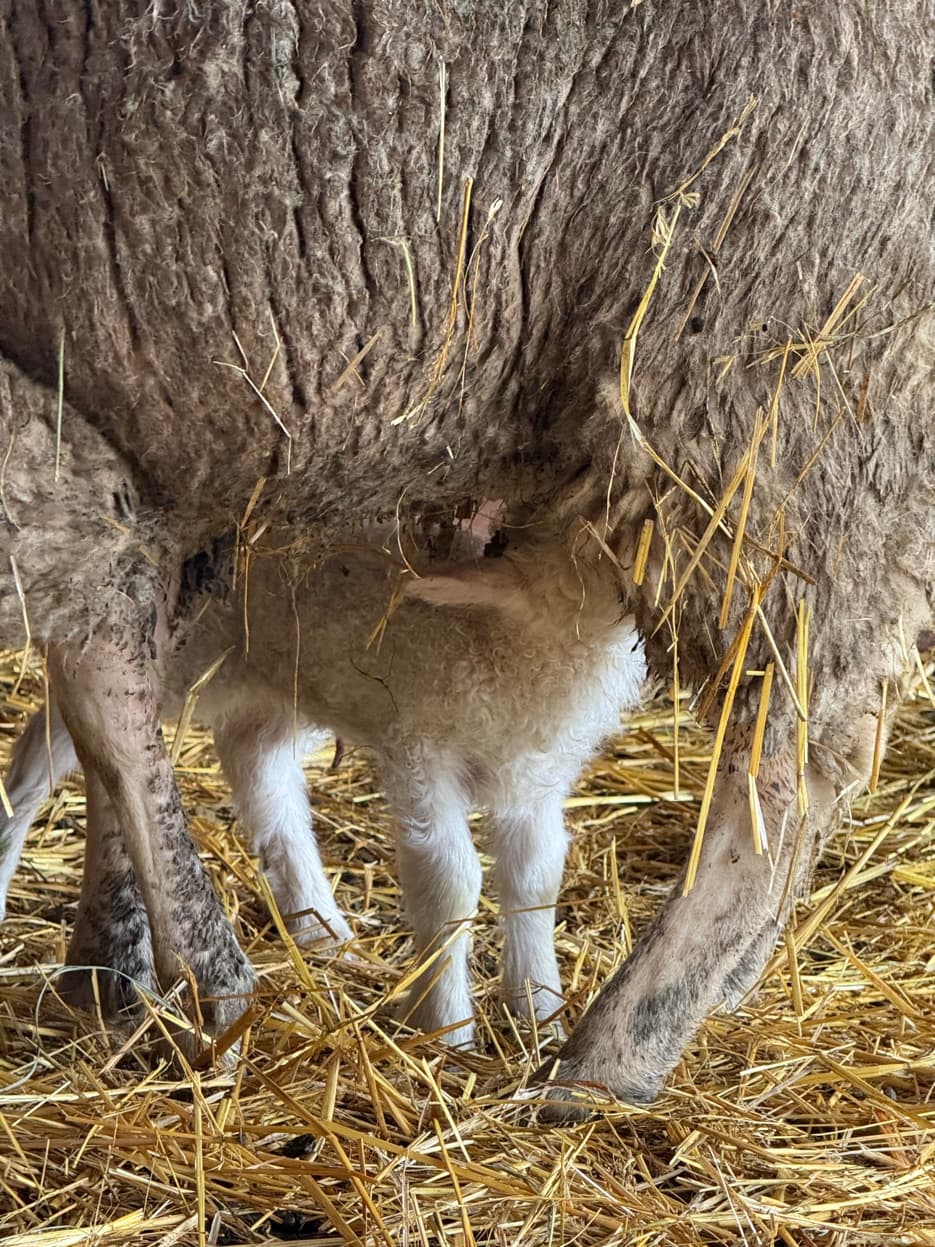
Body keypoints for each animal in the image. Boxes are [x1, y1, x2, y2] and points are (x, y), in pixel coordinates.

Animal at [0, 516, 647, 1046]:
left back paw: (323, 929)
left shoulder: (537, 772)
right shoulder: (421, 747)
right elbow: (450, 879)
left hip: (277, 666)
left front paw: (541, 1015)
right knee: (53, 748)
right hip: (170, 656)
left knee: (257, 766)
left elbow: (538, 876)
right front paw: (448, 1030)